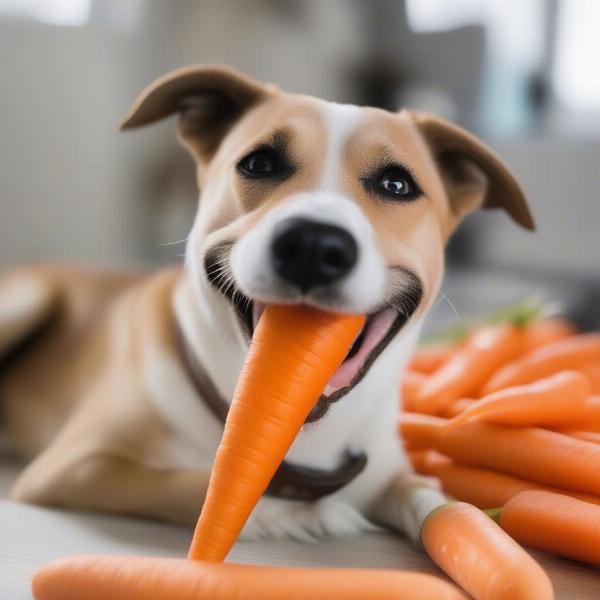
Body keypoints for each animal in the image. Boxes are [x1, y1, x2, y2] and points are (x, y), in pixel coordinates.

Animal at [0, 64, 536, 544]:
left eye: (397, 184)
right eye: (259, 163)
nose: (314, 246)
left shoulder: (384, 467)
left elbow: (428, 497)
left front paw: (465, 519)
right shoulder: (73, 466)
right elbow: (202, 486)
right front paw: (312, 513)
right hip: (25, 301)